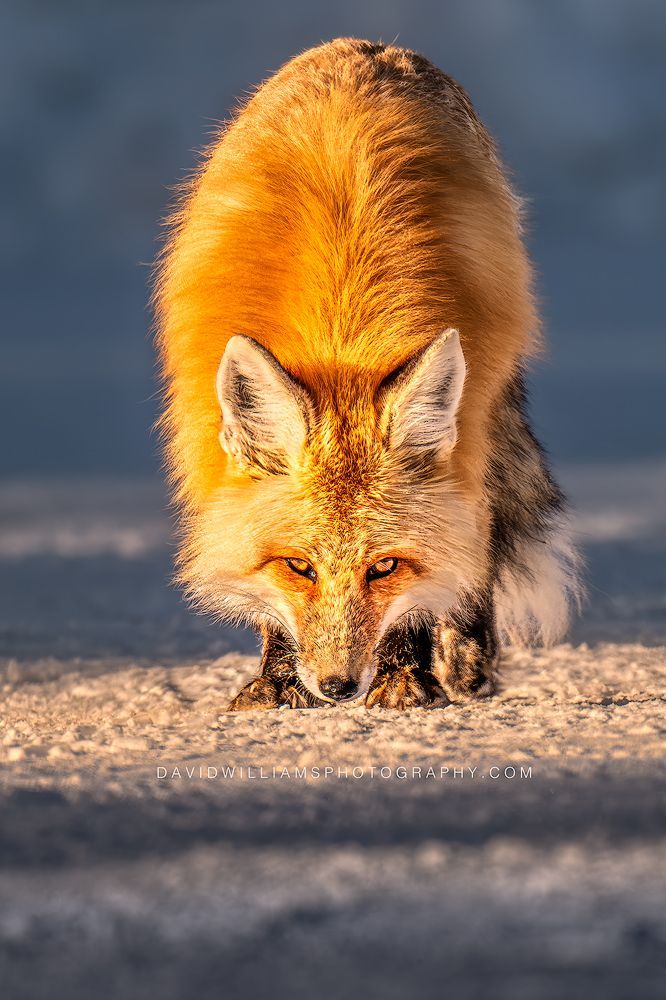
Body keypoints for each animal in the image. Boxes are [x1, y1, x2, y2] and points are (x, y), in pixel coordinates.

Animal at [153, 38, 581, 711]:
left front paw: (406, 675)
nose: (337, 686)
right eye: (298, 567)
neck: (341, 335)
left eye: (383, 567)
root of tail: (366, 46)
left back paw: (465, 660)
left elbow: (431, 583)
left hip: (480, 422)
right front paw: (279, 679)